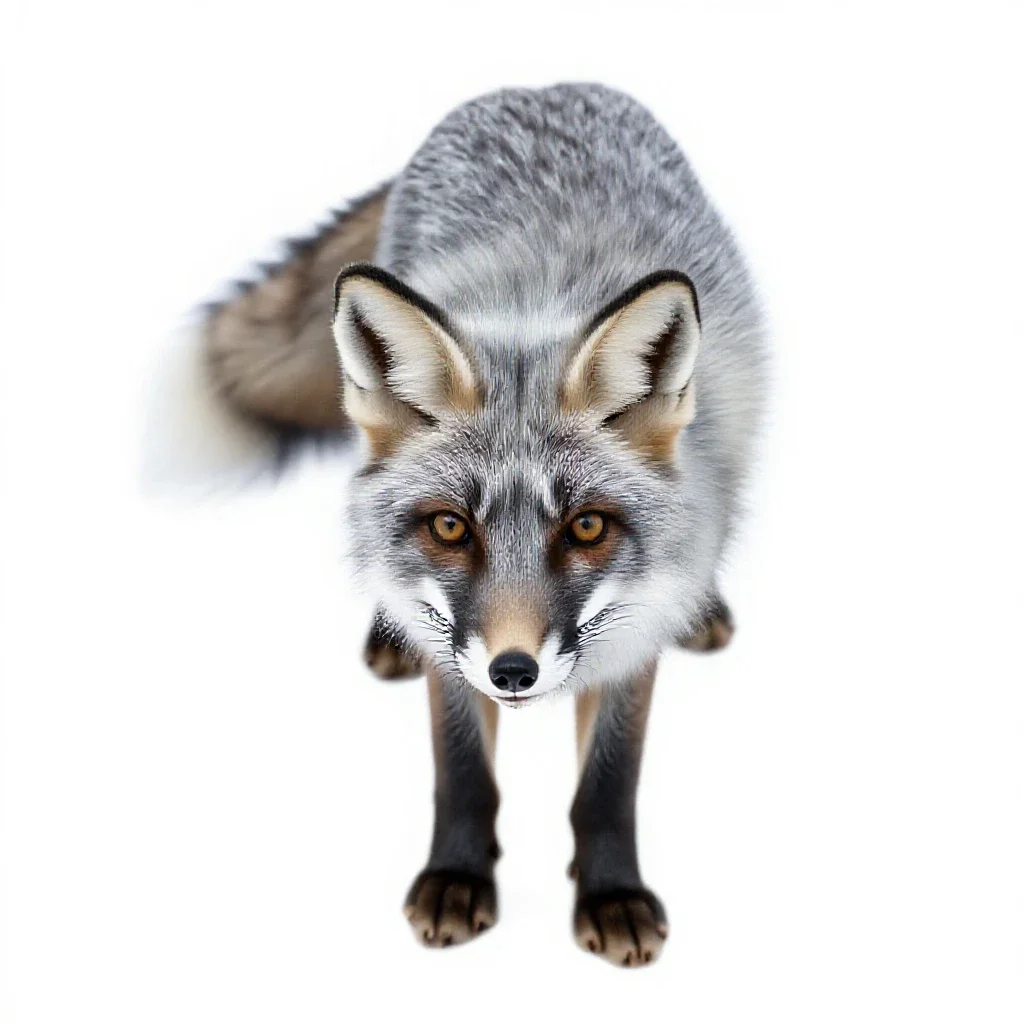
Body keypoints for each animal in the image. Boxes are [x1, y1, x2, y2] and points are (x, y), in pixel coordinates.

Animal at [170, 83, 766, 967]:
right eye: (450, 529)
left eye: (587, 528)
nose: (513, 672)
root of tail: (538, 88)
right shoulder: (456, 647)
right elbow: (462, 773)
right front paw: (456, 878)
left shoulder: (632, 635)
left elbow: (607, 786)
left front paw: (610, 893)